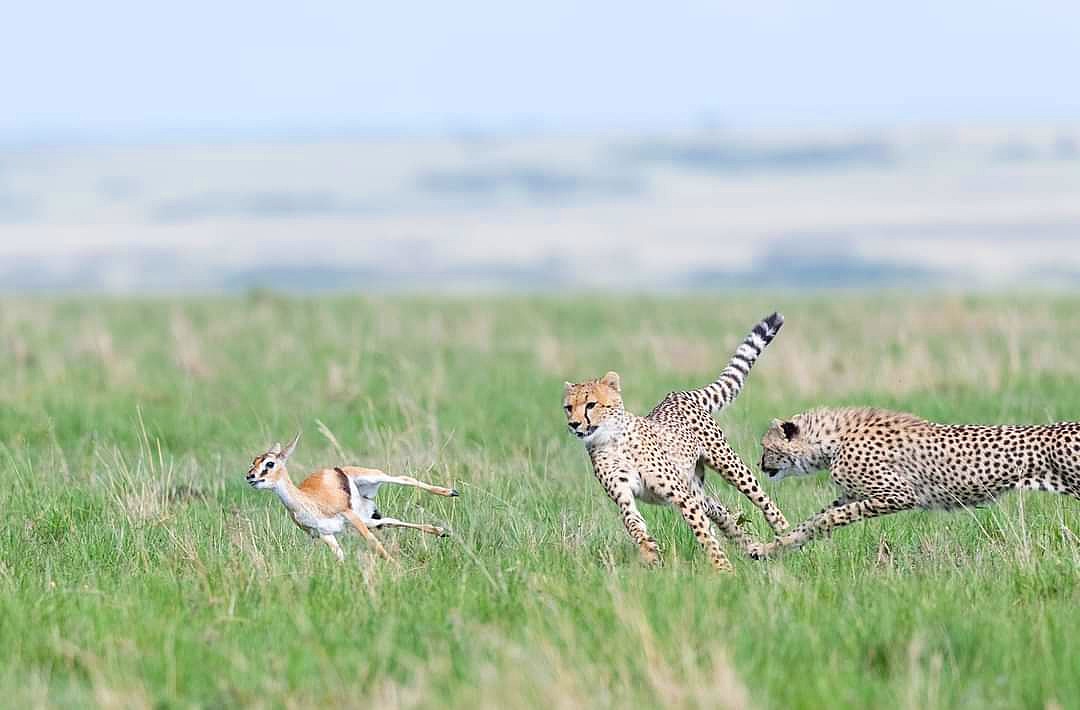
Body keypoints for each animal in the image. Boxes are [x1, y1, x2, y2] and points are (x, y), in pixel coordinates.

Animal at [563, 312, 789, 572]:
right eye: (568, 407)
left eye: (591, 405)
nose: (574, 424)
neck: (611, 440)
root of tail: (677, 394)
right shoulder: (624, 495)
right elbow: (633, 523)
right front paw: (649, 550)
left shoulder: (681, 496)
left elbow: (702, 532)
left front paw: (723, 568)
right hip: (695, 486)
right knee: (718, 509)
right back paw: (748, 543)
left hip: (728, 465)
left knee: (761, 498)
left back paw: (785, 532)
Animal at [753, 406, 1080, 557]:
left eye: (765, 447)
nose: (759, 465)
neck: (832, 441)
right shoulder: (851, 494)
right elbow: (810, 522)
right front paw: (769, 548)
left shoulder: (898, 495)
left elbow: (827, 519)